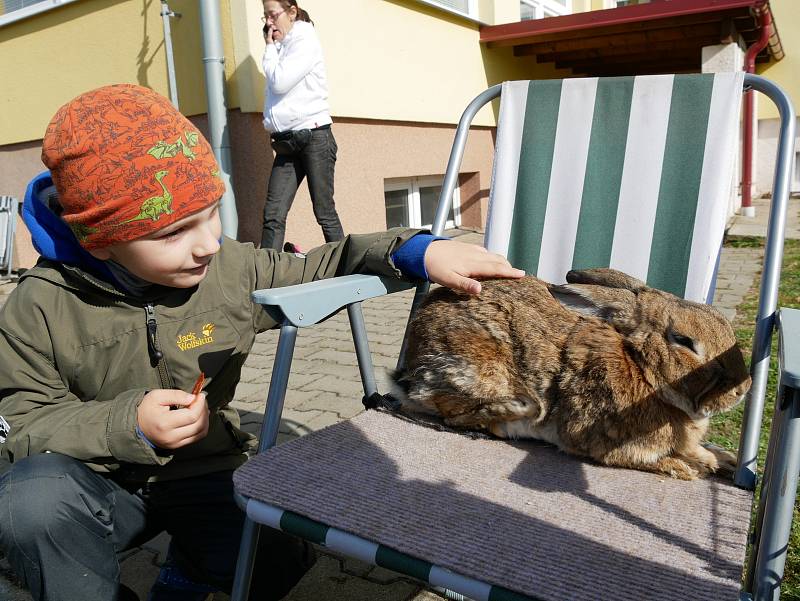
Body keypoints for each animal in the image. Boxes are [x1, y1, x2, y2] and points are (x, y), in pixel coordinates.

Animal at [394, 270, 752, 480]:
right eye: (683, 341)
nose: (744, 388)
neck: (641, 369)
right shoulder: (608, 444)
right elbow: (655, 460)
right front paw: (686, 468)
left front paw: (723, 460)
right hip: (478, 369)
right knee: (453, 412)